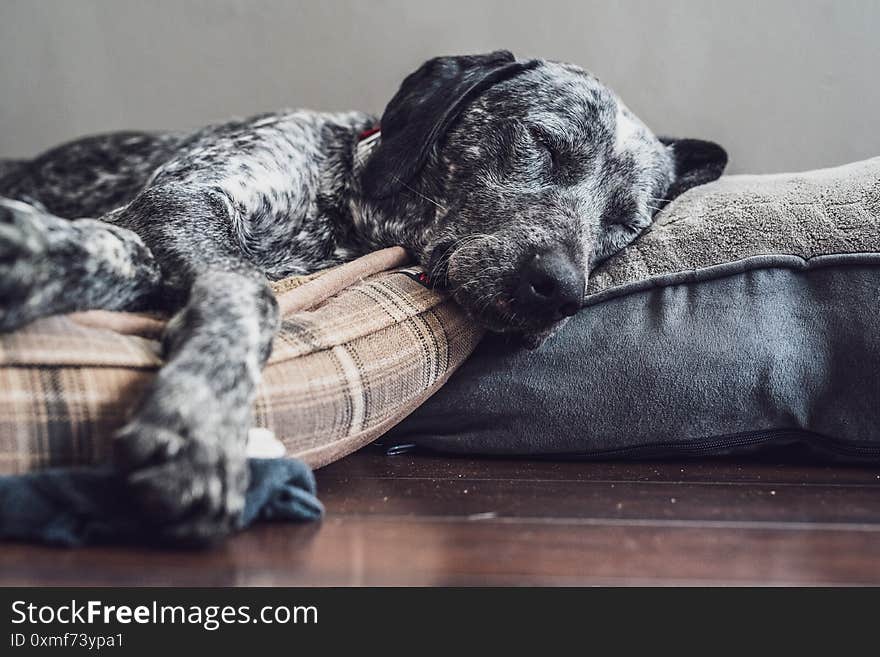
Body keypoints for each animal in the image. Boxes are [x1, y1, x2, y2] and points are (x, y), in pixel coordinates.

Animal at [0, 52, 728, 544]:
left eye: (624, 221)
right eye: (544, 144)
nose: (559, 292)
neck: (342, 217)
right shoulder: (178, 199)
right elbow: (250, 293)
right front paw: (197, 425)